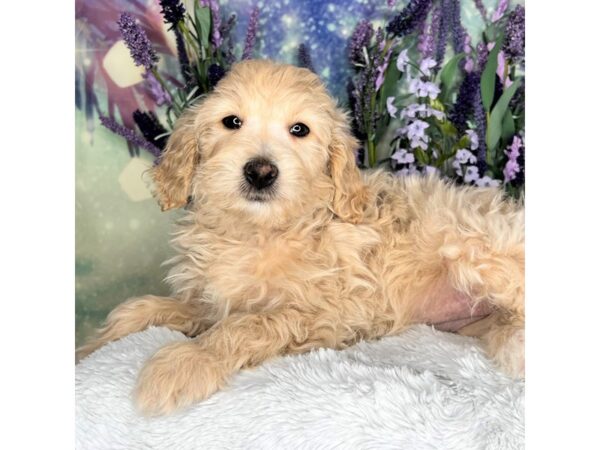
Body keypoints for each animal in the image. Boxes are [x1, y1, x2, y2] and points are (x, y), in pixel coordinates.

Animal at [76, 59, 524, 414]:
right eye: (231, 122)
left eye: (299, 130)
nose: (260, 171)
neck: (260, 231)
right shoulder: (211, 300)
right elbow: (143, 309)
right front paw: (91, 347)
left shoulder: (329, 313)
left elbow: (248, 325)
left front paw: (187, 362)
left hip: (474, 247)